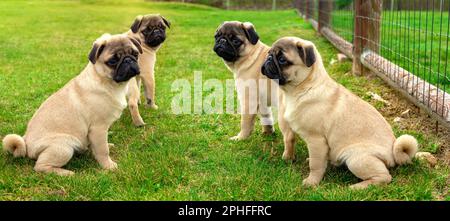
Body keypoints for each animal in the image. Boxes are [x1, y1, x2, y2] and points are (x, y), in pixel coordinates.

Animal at [1, 33, 142, 176]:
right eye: (112, 61)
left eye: (135, 54)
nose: (128, 60)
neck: (107, 82)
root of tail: (26, 143)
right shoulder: (98, 128)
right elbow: (102, 150)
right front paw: (108, 166)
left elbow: (99, 145)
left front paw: (104, 148)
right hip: (64, 147)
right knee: (40, 166)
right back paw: (66, 173)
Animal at [262, 37, 420, 189]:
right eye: (270, 53)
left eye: (282, 60)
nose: (268, 59)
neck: (302, 88)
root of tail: (393, 154)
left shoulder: (316, 140)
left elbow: (315, 165)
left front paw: (312, 182)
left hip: (356, 158)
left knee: (384, 177)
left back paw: (357, 187)